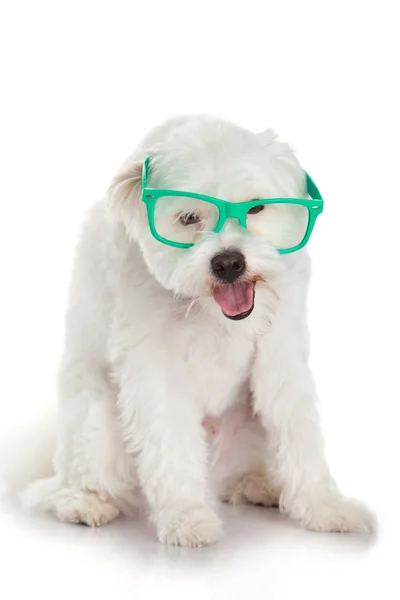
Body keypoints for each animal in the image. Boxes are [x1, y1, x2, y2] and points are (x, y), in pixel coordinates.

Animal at [20, 115, 376, 548]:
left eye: (256, 208)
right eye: (188, 218)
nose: (229, 263)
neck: (211, 313)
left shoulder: (282, 351)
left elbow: (300, 432)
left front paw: (325, 508)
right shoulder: (153, 368)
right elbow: (170, 444)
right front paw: (186, 517)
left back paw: (261, 485)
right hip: (95, 416)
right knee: (73, 483)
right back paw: (85, 502)